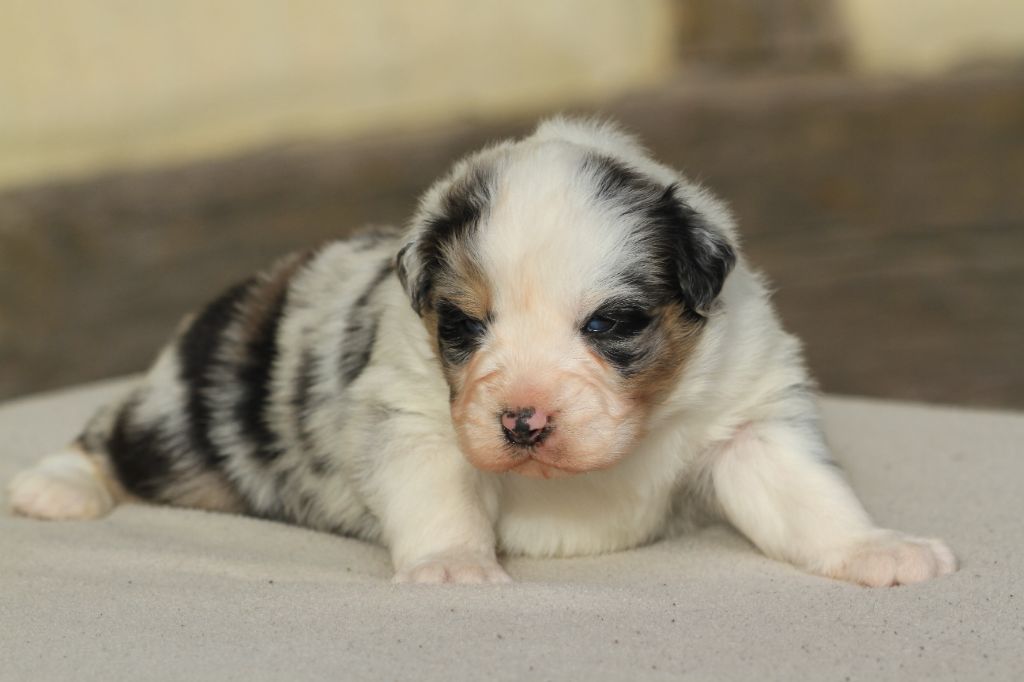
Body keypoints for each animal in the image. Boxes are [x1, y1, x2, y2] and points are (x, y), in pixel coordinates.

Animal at [6, 118, 958, 585]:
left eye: (611, 324)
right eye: (463, 325)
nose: (523, 422)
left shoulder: (747, 417)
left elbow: (810, 502)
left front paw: (879, 550)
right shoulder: (413, 419)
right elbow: (440, 501)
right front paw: (454, 568)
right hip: (184, 422)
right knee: (108, 432)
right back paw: (56, 486)